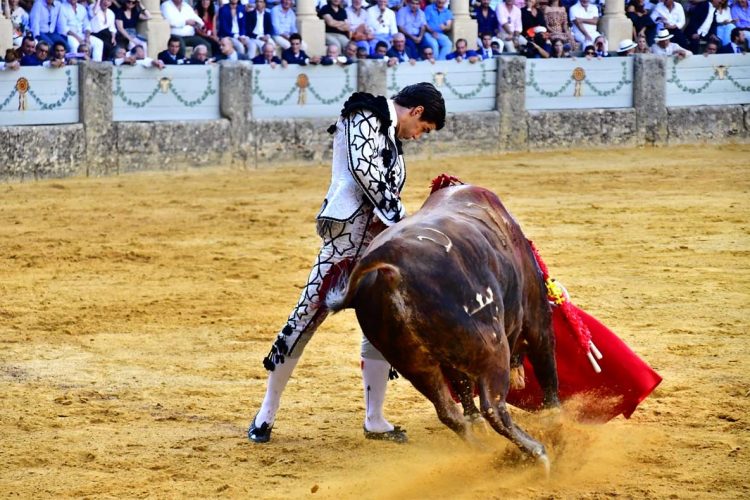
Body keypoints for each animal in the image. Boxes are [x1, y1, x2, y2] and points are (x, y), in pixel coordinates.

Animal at [326, 183, 560, 468]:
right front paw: (558, 420)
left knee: (448, 412)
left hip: (414, 364)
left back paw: (483, 452)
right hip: (492, 347)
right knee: (493, 407)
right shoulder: (538, 320)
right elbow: (547, 368)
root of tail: (391, 265)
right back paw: (538, 452)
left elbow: (461, 386)